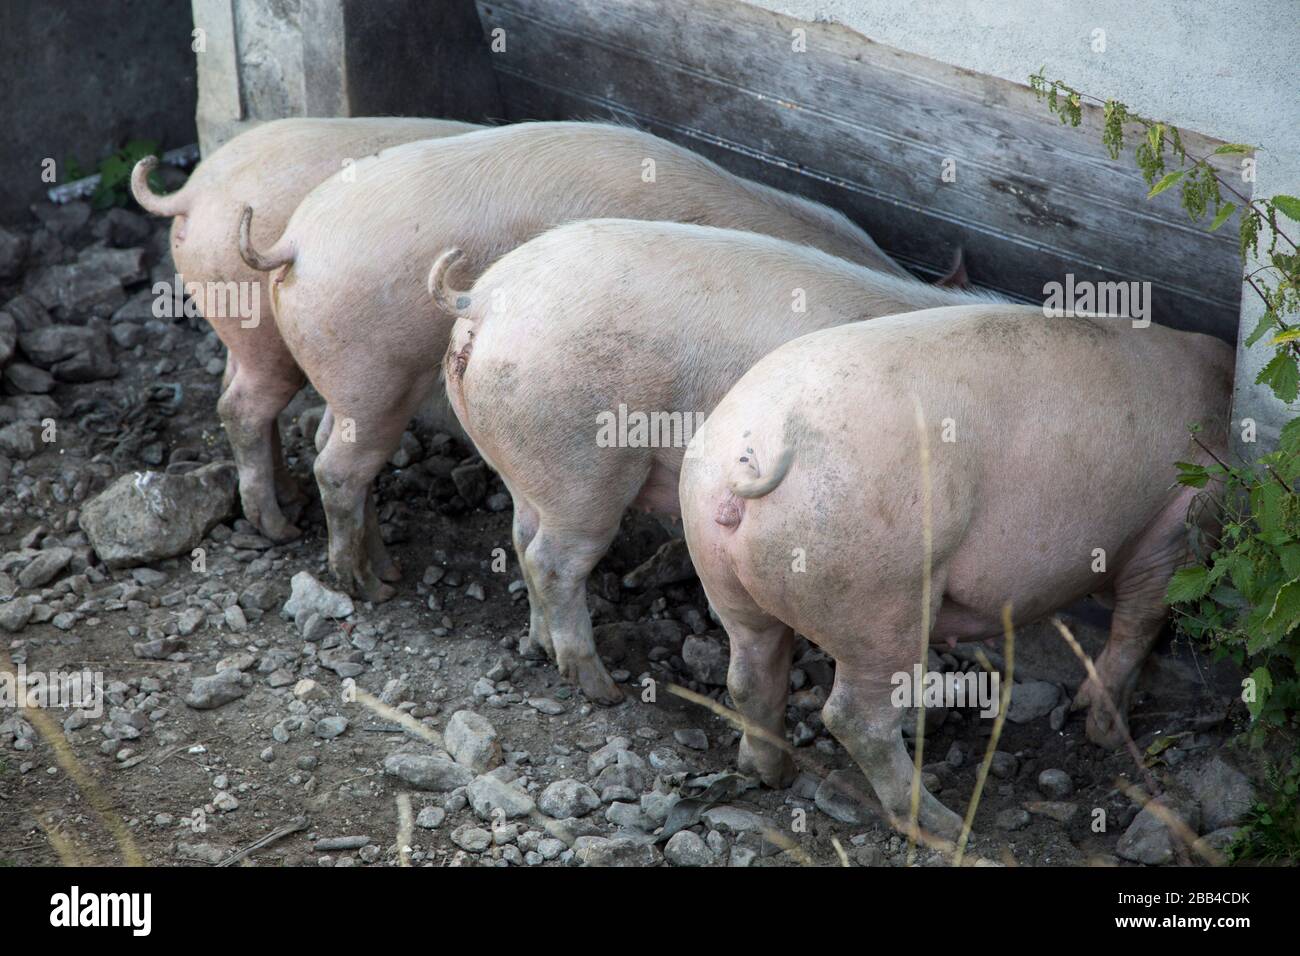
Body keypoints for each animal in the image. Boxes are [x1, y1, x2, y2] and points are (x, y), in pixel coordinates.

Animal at [130, 117, 477, 542]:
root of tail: (192, 193)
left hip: (243, 325)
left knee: (233, 389)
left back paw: (293, 499)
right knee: (242, 406)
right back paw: (282, 530)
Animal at [237, 121, 912, 602]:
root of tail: (294, 241)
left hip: (356, 379)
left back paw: (385, 566)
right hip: (375, 378)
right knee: (331, 463)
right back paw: (360, 580)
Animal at [435, 218, 997, 703]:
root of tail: (482, 300)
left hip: (526, 461)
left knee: (521, 537)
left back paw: (542, 646)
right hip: (580, 468)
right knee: (552, 560)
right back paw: (603, 688)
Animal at [677, 306, 1231, 838]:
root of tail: (745, 459)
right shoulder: (1177, 525)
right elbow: (1139, 624)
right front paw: (1107, 735)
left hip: (724, 576)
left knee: (748, 676)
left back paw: (769, 773)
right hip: (880, 596)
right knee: (855, 718)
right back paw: (945, 825)